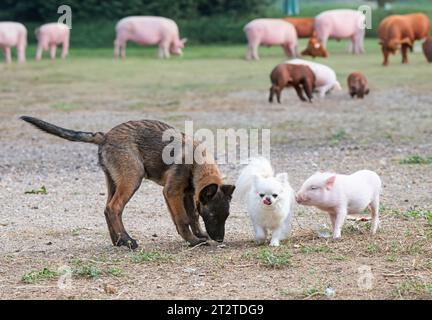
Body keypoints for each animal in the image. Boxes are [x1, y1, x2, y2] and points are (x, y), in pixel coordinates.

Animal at [19, 116, 235, 249]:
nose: (220, 239)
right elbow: (182, 219)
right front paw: (192, 241)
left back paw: (118, 241)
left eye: (226, 216)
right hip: (132, 178)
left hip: (114, 181)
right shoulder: (172, 192)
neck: (197, 162)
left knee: (108, 208)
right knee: (114, 208)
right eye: (212, 215)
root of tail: (105, 136)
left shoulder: (188, 194)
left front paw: (199, 235)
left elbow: (192, 217)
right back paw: (128, 241)